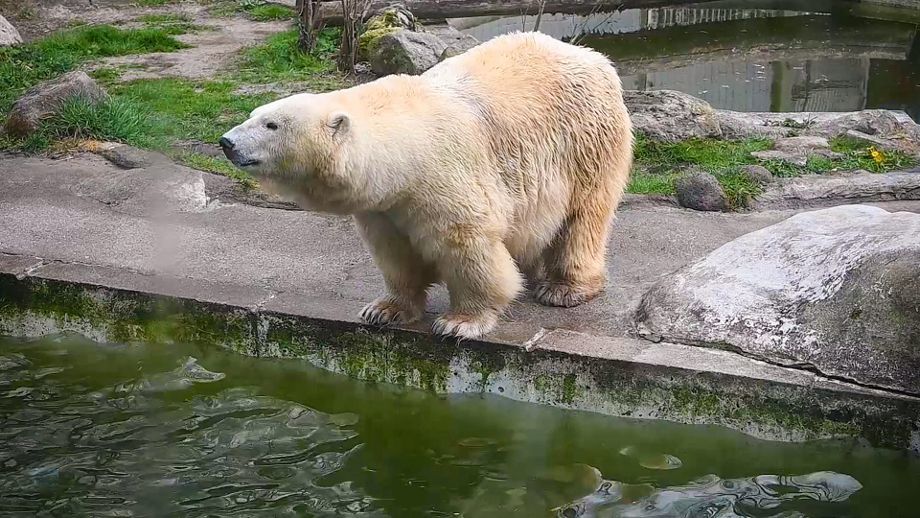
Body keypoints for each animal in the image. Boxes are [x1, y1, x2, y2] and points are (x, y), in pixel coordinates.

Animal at [223, 30, 632, 340]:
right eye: (254, 115)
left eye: (272, 125)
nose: (227, 142)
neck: (400, 150)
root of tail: (593, 56)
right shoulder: (385, 205)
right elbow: (395, 253)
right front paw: (383, 310)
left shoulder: (444, 175)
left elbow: (467, 244)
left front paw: (461, 321)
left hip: (586, 143)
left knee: (583, 218)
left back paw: (563, 288)